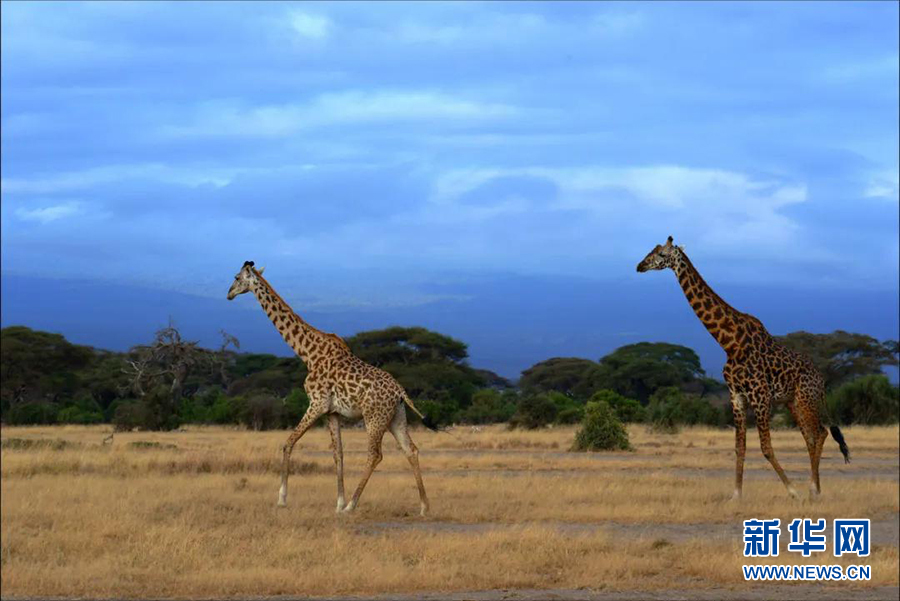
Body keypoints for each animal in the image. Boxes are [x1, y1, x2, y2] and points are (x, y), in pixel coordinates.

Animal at [227, 260, 434, 512]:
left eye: (237, 278)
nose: (228, 294)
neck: (308, 353)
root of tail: (400, 391)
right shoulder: (332, 411)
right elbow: (338, 454)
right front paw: (338, 502)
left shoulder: (317, 403)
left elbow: (288, 443)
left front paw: (282, 498)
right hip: (396, 417)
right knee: (410, 449)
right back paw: (423, 506)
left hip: (374, 417)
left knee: (375, 455)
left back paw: (352, 506)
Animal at [632, 237, 852, 500]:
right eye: (651, 250)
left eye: (662, 254)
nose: (640, 266)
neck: (730, 343)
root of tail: (821, 379)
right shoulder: (736, 396)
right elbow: (740, 447)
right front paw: (736, 494)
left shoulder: (760, 396)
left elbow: (766, 447)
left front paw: (792, 491)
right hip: (793, 402)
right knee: (811, 436)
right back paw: (815, 489)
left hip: (805, 399)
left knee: (820, 433)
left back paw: (812, 490)